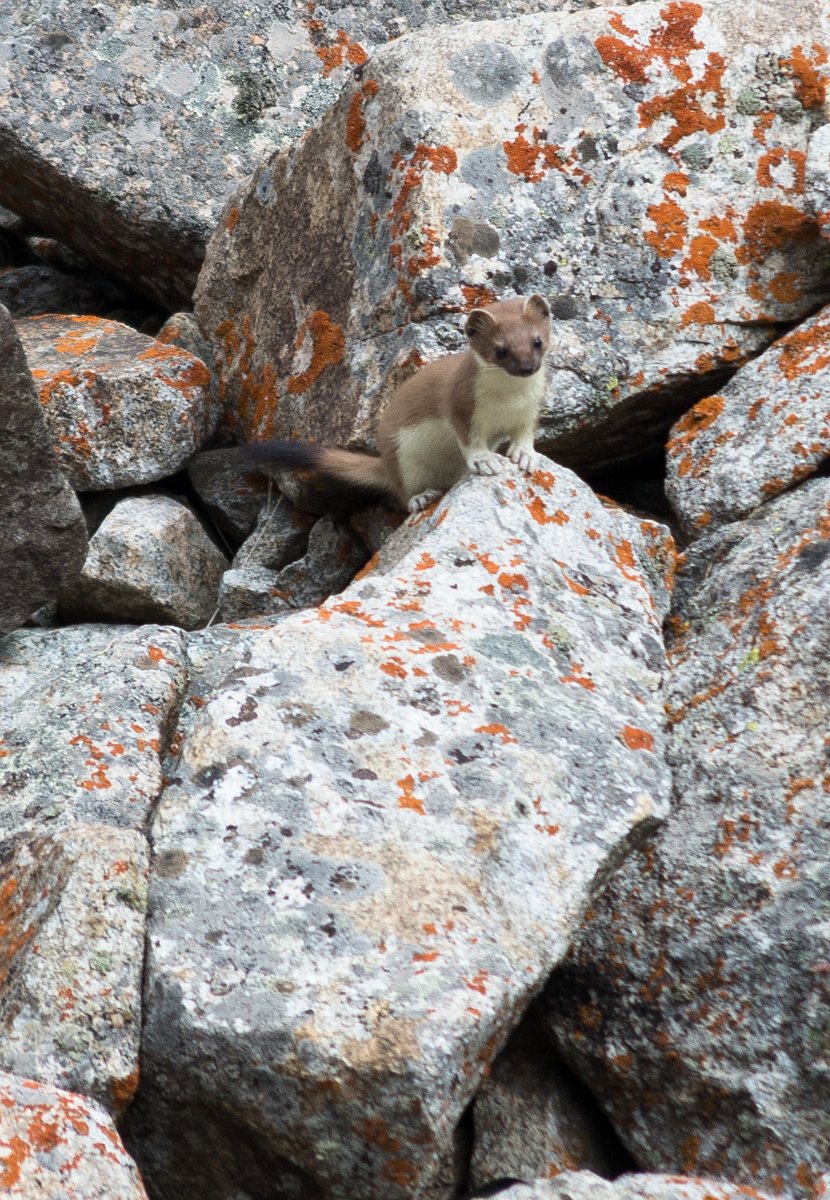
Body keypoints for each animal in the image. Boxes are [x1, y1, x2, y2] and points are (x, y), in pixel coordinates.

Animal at [243, 294, 551, 513]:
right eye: (500, 350)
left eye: (537, 341)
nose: (527, 367)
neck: (508, 401)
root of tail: (386, 465)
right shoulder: (460, 403)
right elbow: (469, 439)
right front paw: (485, 460)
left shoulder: (531, 408)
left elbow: (524, 434)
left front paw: (525, 455)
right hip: (404, 461)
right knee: (404, 493)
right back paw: (422, 497)